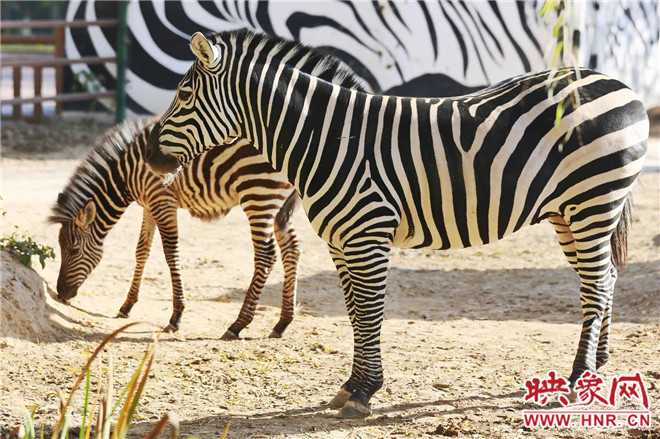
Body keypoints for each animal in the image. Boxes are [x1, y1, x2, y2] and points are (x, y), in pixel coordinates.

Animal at [49, 119, 301, 338]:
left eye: (73, 250)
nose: (61, 293)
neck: (126, 173)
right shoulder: (149, 204)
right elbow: (141, 251)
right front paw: (127, 305)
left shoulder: (162, 200)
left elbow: (171, 254)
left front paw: (176, 317)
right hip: (277, 206)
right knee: (292, 250)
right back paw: (283, 323)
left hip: (258, 195)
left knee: (266, 256)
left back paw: (238, 324)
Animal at [144, 30, 649, 418]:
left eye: (184, 95)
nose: (148, 154)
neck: (329, 140)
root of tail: (616, 81)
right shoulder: (340, 242)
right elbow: (354, 313)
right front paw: (352, 385)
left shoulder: (367, 235)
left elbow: (369, 312)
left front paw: (365, 392)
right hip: (569, 211)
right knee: (604, 276)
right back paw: (600, 364)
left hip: (592, 201)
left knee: (596, 284)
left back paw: (579, 377)